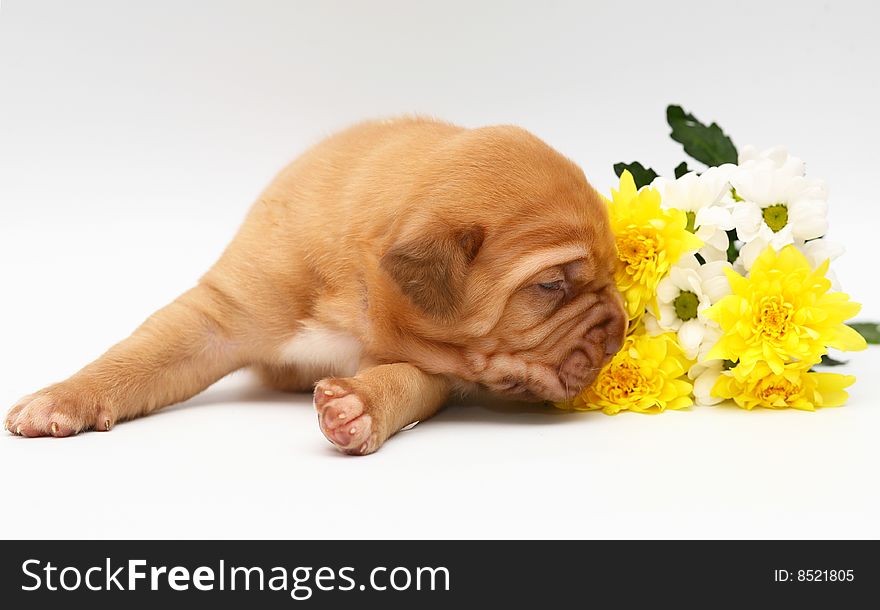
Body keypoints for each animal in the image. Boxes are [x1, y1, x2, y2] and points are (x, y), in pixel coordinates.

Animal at [5, 116, 624, 454]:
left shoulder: (435, 363)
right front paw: (62, 396)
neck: (360, 287)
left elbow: (404, 380)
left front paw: (359, 406)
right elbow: (138, 355)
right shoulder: (221, 315)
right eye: (552, 285)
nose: (618, 333)